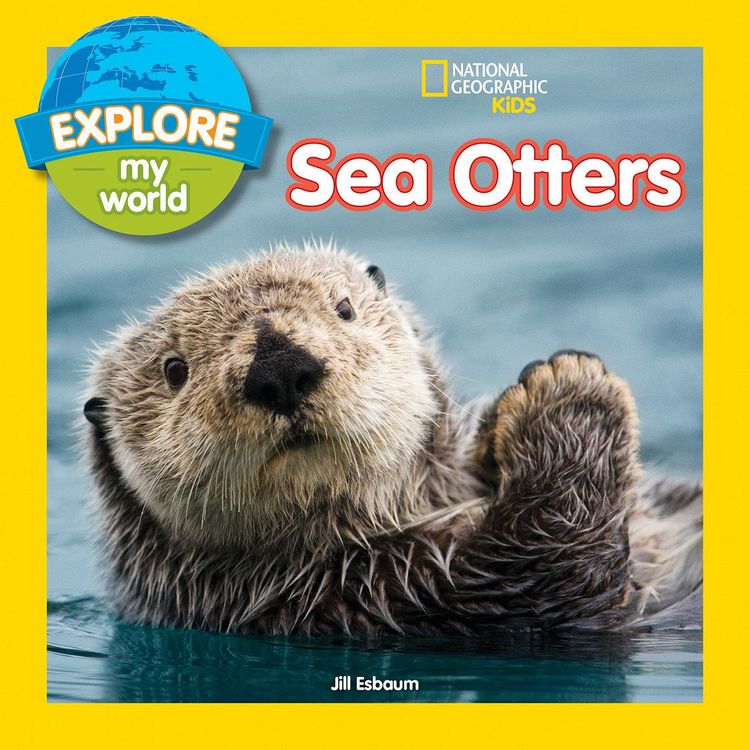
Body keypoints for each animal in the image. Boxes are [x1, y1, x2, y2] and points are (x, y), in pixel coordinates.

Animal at [83, 244, 702, 636]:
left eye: (344, 308)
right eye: (175, 370)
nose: (279, 367)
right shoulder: (408, 599)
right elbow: (563, 564)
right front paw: (567, 385)